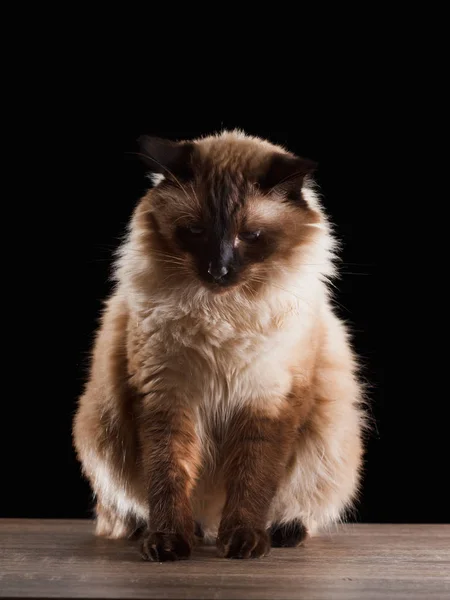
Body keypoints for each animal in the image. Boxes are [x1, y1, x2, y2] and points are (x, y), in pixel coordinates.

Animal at [72, 129, 364, 560]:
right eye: (196, 232)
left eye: (251, 237)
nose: (219, 269)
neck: (221, 315)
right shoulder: (167, 398)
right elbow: (168, 477)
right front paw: (168, 543)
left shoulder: (267, 403)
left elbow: (253, 482)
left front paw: (243, 541)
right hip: (100, 431)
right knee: (126, 508)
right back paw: (180, 532)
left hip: (327, 445)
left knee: (301, 505)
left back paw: (282, 533)